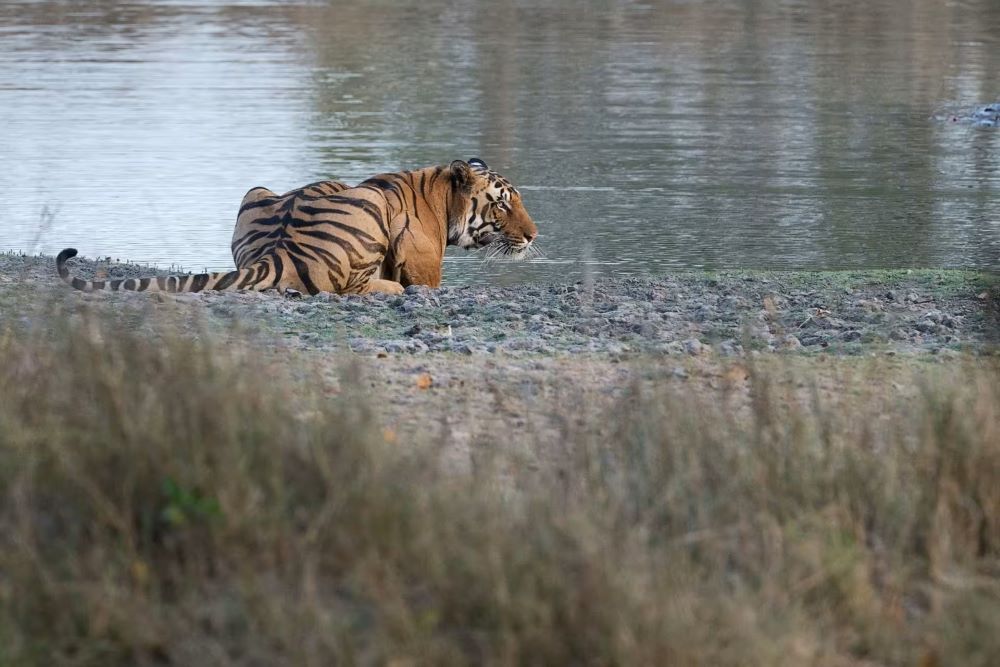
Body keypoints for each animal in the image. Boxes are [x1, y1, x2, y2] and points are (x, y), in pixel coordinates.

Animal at [56, 158, 538, 296]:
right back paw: (389, 289)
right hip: (367, 204)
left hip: (257, 189)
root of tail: (279, 249)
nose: (534, 235)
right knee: (349, 290)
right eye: (503, 203)